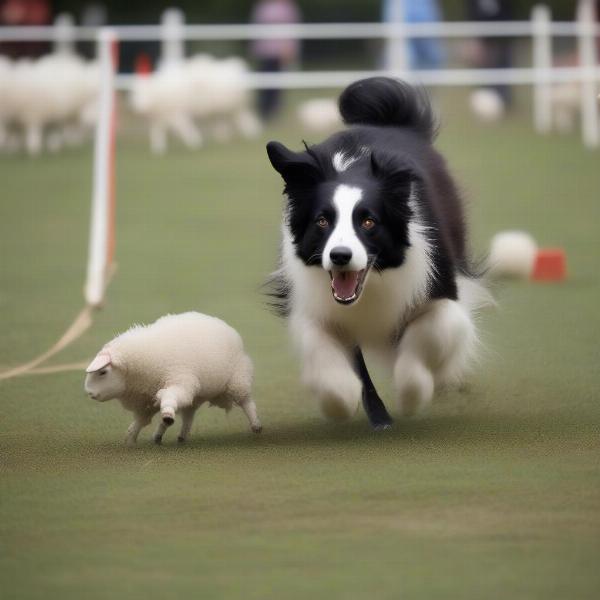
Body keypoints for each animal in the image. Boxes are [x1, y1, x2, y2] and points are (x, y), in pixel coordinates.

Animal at [83, 314, 262, 446]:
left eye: (103, 372)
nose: (89, 393)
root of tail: (225, 326)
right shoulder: (146, 402)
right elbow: (141, 421)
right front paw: (130, 439)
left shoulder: (180, 381)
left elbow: (169, 398)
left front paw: (167, 415)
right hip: (196, 395)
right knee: (188, 415)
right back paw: (176, 436)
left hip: (237, 379)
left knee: (246, 401)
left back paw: (256, 425)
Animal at [266, 77, 488, 426]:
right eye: (322, 220)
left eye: (368, 221)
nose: (340, 256)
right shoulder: (313, 302)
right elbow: (325, 350)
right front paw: (341, 401)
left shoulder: (437, 287)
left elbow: (431, 332)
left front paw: (413, 393)